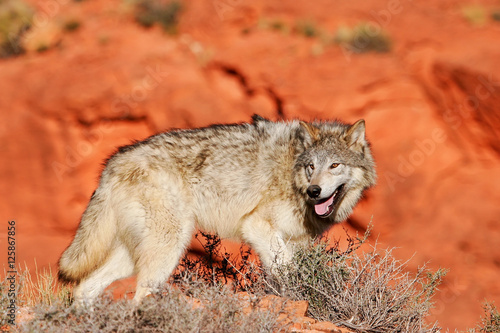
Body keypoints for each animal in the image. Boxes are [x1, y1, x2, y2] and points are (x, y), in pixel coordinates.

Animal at [58, 115, 376, 304]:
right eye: (311, 166)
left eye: (334, 165)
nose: (314, 191)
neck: (293, 172)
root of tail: (114, 161)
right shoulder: (256, 225)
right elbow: (287, 270)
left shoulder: (294, 241)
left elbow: (287, 269)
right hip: (167, 249)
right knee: (138, 297)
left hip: (135, 255)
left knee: (85, 287)